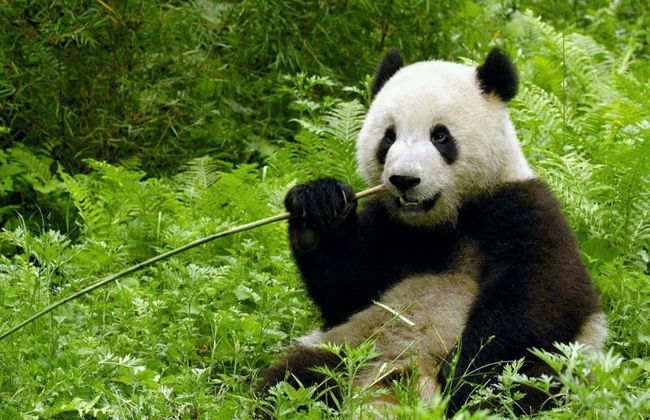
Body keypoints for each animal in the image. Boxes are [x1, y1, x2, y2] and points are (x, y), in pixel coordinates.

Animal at [259, 48, 607, 415]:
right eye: (388, 136)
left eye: (440, 136)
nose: (404, 180)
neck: (440, 222)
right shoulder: (387, 227)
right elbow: (346, 292)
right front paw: (318, 205)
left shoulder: (523, 209)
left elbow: (539, 296)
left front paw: (464, 374)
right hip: (350, 344)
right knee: (293, 380)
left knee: (524, 385)